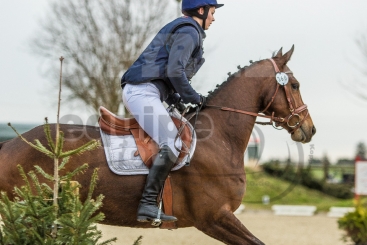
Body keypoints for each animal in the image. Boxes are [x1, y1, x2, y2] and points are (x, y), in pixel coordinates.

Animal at [0, 46, 316, 245]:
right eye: (296, 85)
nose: (309, 129)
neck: (219, 140)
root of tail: (9, 144)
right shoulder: (214, 217)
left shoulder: (216, 219)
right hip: (27, 212)